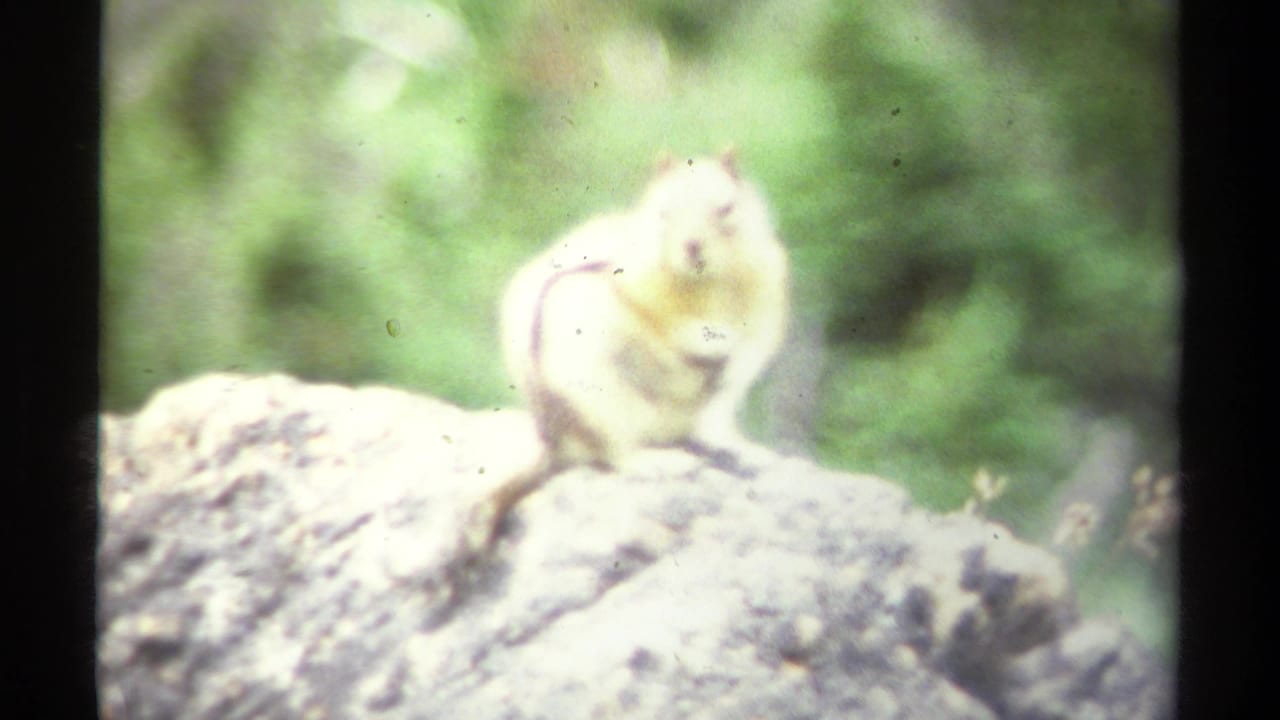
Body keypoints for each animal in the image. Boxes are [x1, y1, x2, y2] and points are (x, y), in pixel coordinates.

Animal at [466, 150, 789, 553]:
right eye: (664, 212)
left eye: (726, 208)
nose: (692, 246)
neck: (705, 285)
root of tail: (553, 445)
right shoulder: (635, 282)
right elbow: (661, 317)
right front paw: (701, 338)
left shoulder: (764, 293)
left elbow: (746, 346)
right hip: (598, 400)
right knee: (615, 452)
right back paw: (657, 462)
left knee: (711, 420)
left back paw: (738, 447)